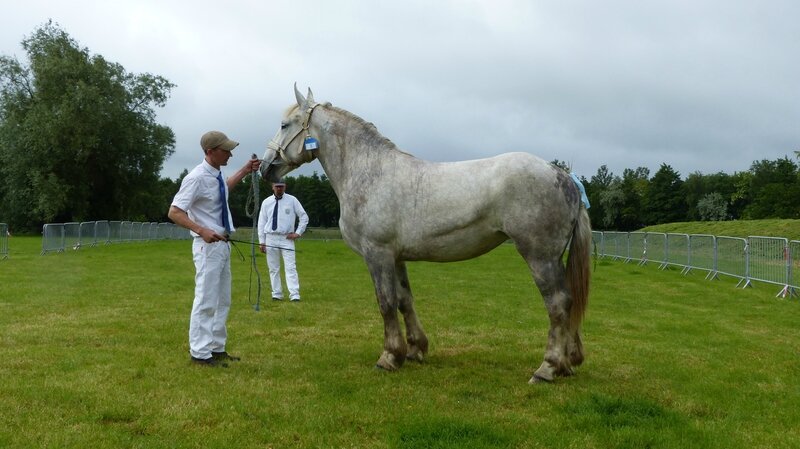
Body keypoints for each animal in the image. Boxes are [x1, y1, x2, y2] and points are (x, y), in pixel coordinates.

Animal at [260, 86, 592, 384]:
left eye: (284, 124)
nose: (264, 168)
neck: (369, 172)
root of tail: (564, 176)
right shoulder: (396, 257)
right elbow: (404, 300)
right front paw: (414, 351)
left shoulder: (377, 253)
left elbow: (385, 302)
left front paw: (388, 357)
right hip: (553, 258)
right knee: (569, 301)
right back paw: (569, 363)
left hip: (539, 256)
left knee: (558, 303)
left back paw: (548, 368)